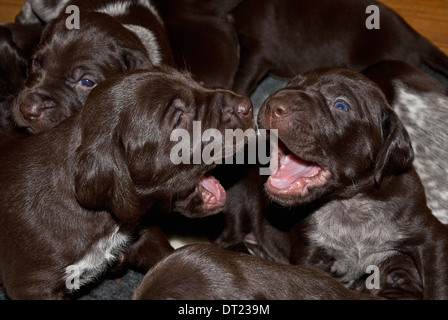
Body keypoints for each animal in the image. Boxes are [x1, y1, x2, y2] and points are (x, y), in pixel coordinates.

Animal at [256, 68, 448, 300]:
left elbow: (439, 285)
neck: (350, 201)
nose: (273, 104)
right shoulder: (310, 253)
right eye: (291, 83)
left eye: (341, 105)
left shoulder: (432, 238)